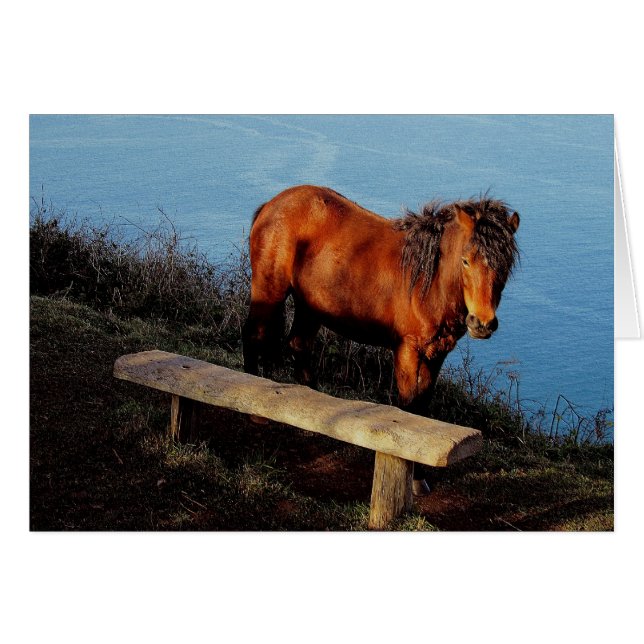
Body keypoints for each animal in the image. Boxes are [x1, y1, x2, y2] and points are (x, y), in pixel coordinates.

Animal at [242, 185, 519, 487]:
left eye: (505, 266)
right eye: (466, 261)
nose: (482, 323)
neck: (427, 282)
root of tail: (272, 204)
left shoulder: (437, 353)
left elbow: (423, 406)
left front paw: (419, 475)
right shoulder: (408, 350)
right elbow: (409, 407)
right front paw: (413, 475)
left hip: (310, 307)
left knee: (298, 345)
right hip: (269, 291)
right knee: (254, 336)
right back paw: (254, 411)